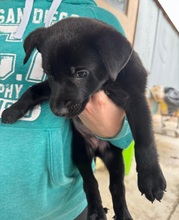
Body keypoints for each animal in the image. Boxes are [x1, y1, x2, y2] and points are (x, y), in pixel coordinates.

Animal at [1, 17, 166, 220]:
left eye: (81, 73)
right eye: (49, 73)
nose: (57, 111)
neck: (105, 83)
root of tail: (97, 150)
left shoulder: (135, 97)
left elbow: (144, 137)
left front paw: (151, 178)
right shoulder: (53, 90)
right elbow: (33, 90)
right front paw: (12, 110)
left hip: (115, 159)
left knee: (117, 187)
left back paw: (123, 214)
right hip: (80, 153)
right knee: (91, 183)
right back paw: (96, 211)